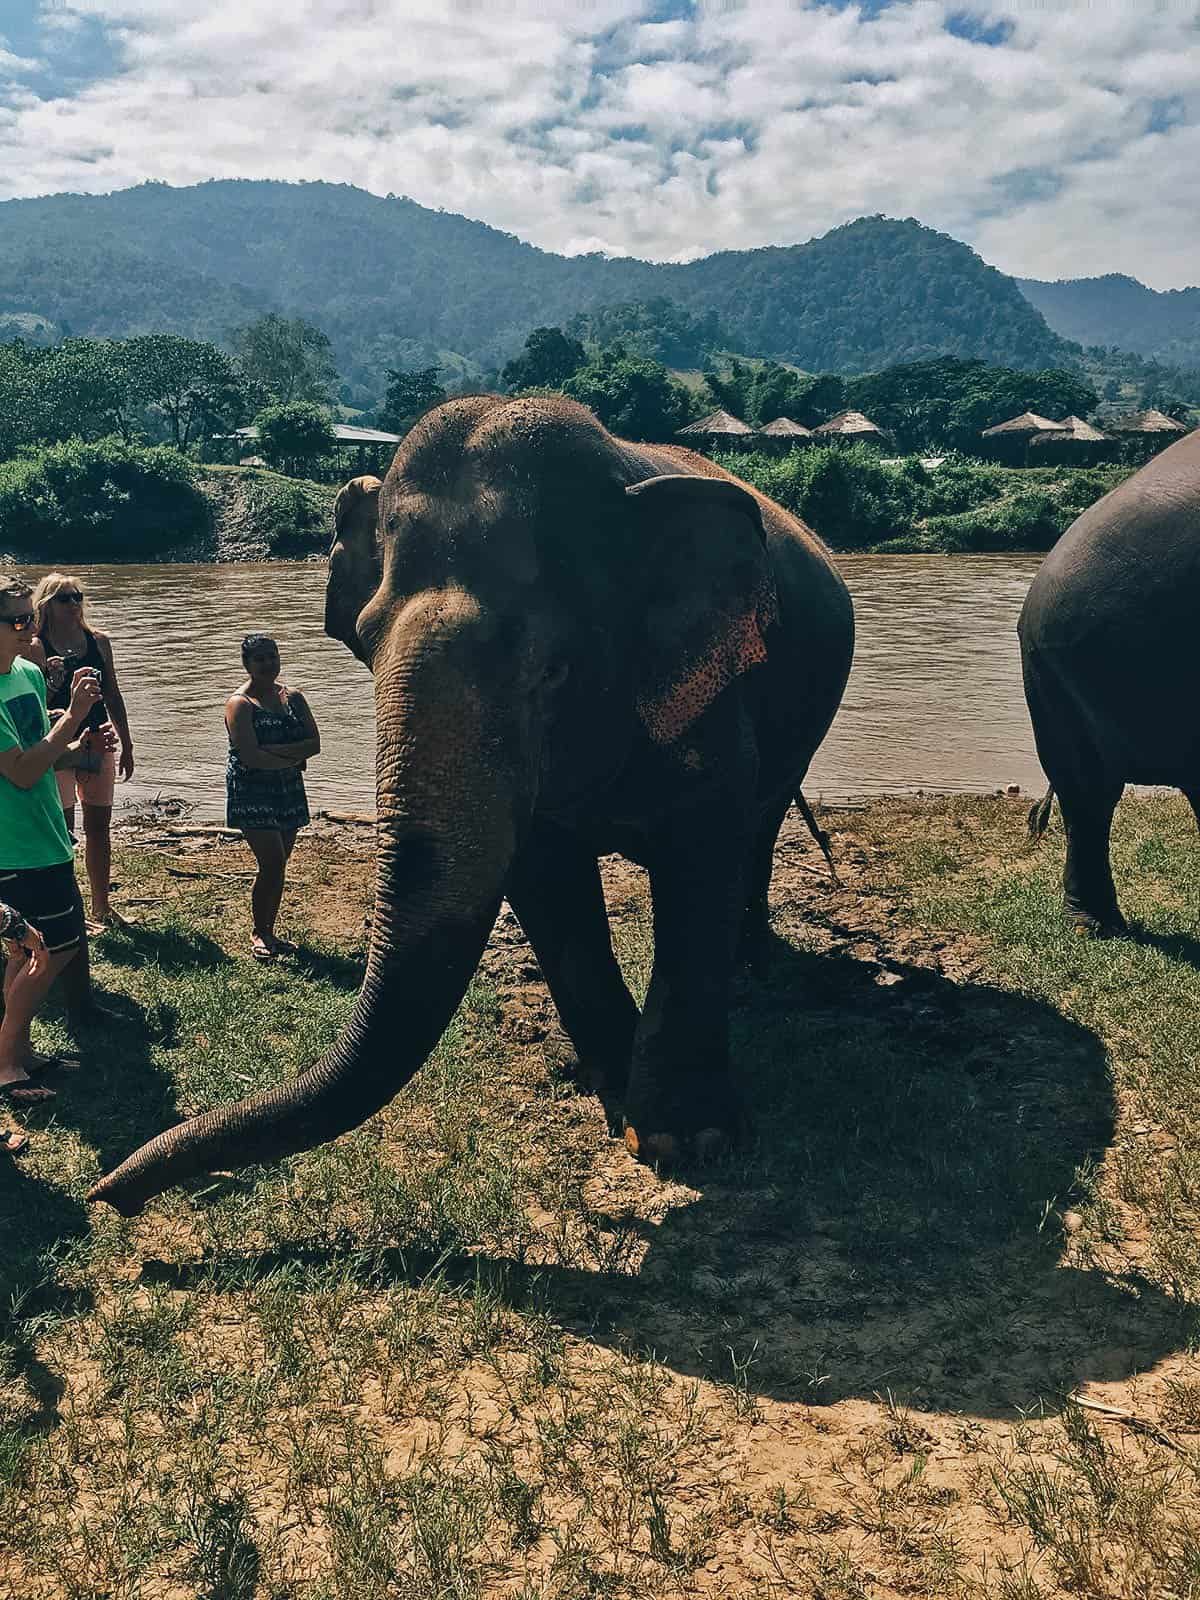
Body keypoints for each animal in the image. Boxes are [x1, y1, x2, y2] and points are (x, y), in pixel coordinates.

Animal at [86, 396, 857, 1209]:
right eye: (365, 641)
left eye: (552, 669)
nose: (111, 1196)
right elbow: (546, 879)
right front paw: (614, 1093)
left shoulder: (708, 693)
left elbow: (703, 857)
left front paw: (689, 1142)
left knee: (758, 830)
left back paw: (753, 963)